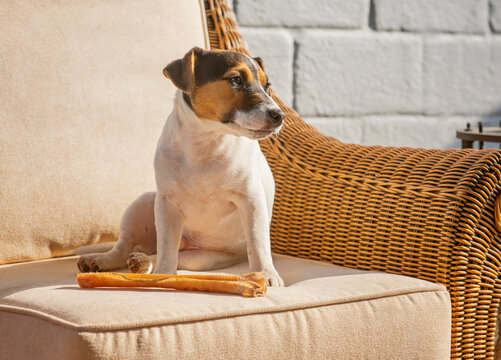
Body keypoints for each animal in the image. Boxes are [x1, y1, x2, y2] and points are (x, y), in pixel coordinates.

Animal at [76, 46, 284, 286]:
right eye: (236, 80)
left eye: (267, 86)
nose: (279, 115)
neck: (206, 143)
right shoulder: (167, 204)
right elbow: (167, 246)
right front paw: (164, 274)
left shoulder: (251, 200)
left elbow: (258, 243)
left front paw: (266, 275)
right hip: (143, 204)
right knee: (126, 248)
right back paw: (104, 260)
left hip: (203, 259)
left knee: (167, 256)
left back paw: (142, 261)